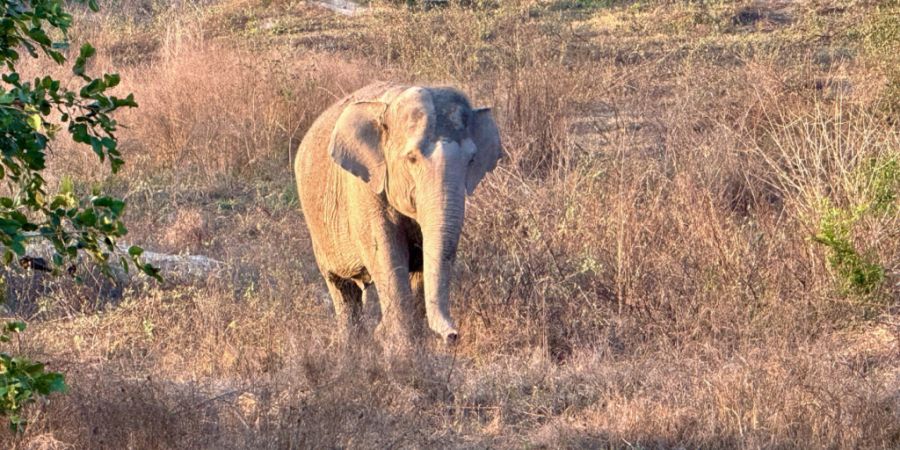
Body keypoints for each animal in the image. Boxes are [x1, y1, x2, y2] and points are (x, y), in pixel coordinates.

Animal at [294, 82, 502, 346]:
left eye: (472, 159)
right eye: (412, 158)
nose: (453, 336)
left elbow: (424, 264)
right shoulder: (365, 191)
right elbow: (387, 254)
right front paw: (400, 347)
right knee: (342, 289)